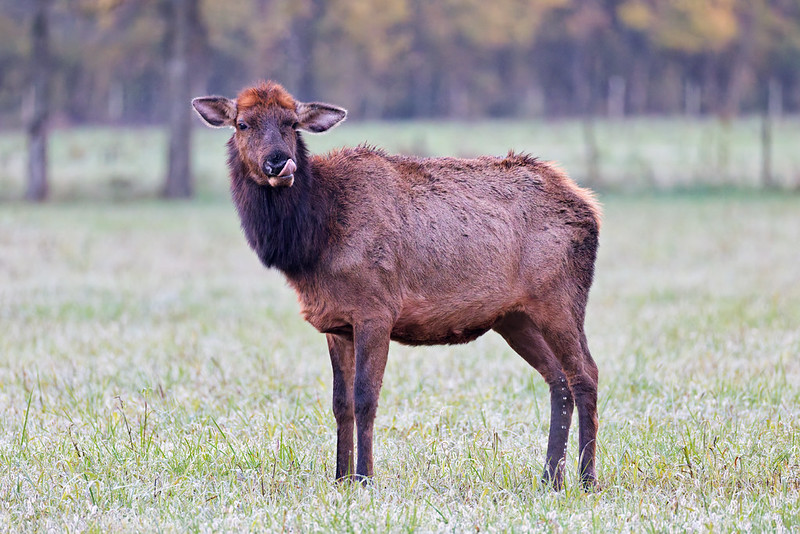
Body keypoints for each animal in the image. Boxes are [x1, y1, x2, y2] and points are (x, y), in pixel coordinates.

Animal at [192, 81, 601, 490]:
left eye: (292, 123)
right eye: (243, 123)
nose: (278, 162)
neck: (314, 239)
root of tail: (590, 208)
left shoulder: (376, 310)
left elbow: (365, 398)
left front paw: (364, 478)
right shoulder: (336, 323)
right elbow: (340, 403)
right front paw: (340, 478)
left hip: (560, 298)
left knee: (586, 373)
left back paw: (586, 479)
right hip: (515, 318)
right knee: (558, 380)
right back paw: (550, 477)